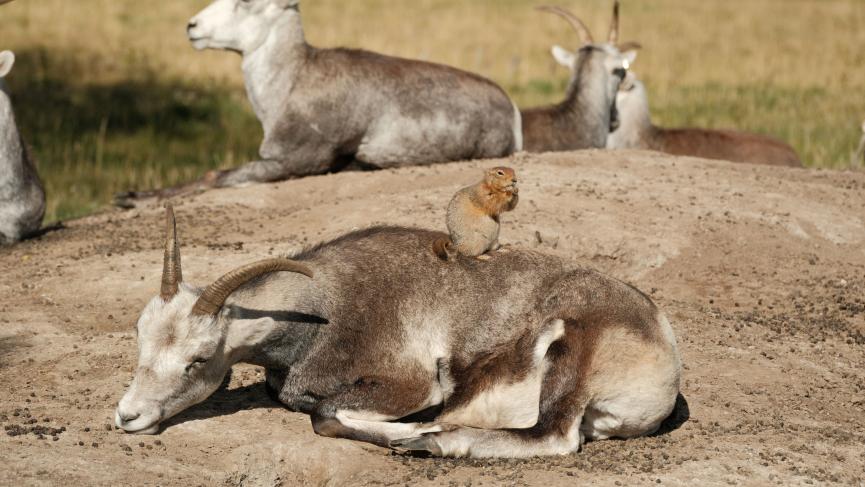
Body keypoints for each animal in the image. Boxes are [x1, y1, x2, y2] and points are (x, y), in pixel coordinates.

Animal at [115, 206, 682, 458]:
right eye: (141, 336)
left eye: (198, 358)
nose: (128, 416)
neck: (328, 301)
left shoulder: (411, 385)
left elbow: (324, 415)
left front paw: (413, 433)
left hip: (567, 354)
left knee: (555, 438)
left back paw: (437, 442)